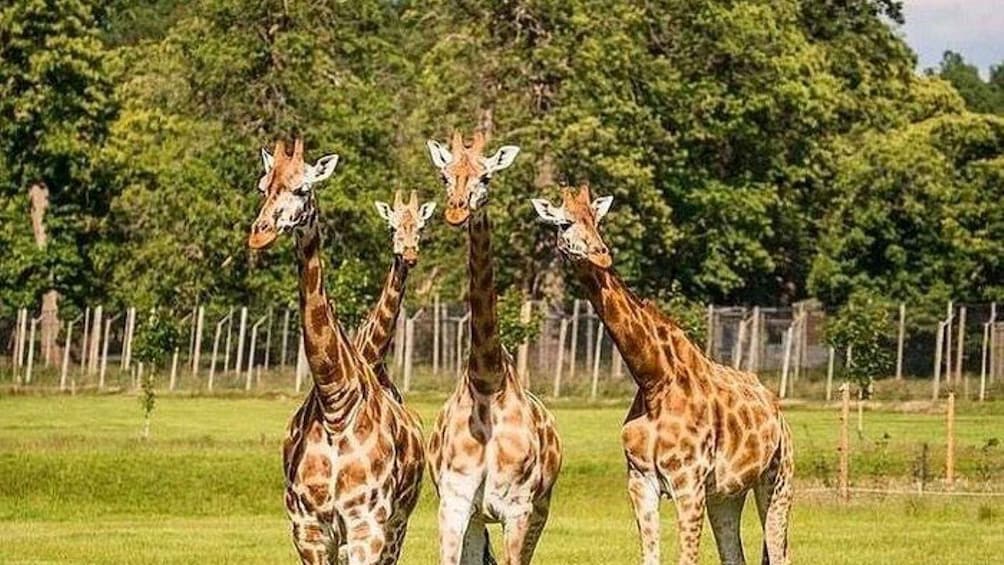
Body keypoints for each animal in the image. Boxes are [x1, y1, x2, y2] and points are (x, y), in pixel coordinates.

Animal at [248, 139, 425, 565]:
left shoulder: (367, 524)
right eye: (263, 186)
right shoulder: (308, 528)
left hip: (397, 526)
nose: (259, 234)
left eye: (302, 189)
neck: (335, 403)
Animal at [424, 130, 563, 565]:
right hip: (477, 518)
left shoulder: (517, 508)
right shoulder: (454, 504)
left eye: (485, 177)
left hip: (540, 510)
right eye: (445, 176)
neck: (487, 382)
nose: (456, 210)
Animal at [532, 185, 794, 565]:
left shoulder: (689, 483)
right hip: (727, 494)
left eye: (597, 220)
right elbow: (650, 556)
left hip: (778, 479)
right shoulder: (641, 481)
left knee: (779, 551)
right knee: (734, 554)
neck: (654, 380)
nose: (601, 254)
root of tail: (776, 409)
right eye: (564, 222)